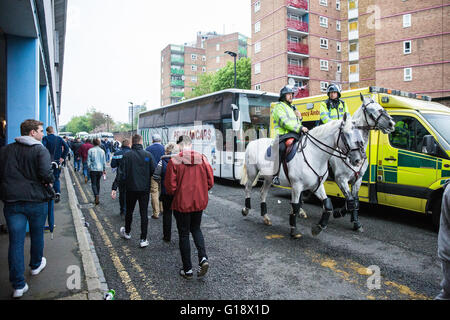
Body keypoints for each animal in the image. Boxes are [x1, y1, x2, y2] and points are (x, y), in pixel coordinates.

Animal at [328, 94, 396, 231]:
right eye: (370, 110)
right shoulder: (341, 179)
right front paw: (339, 213)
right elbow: (350, 201)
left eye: (380, 107)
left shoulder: (357, 179)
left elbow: (355, 200)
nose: (392, 124)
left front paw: (355, 222)